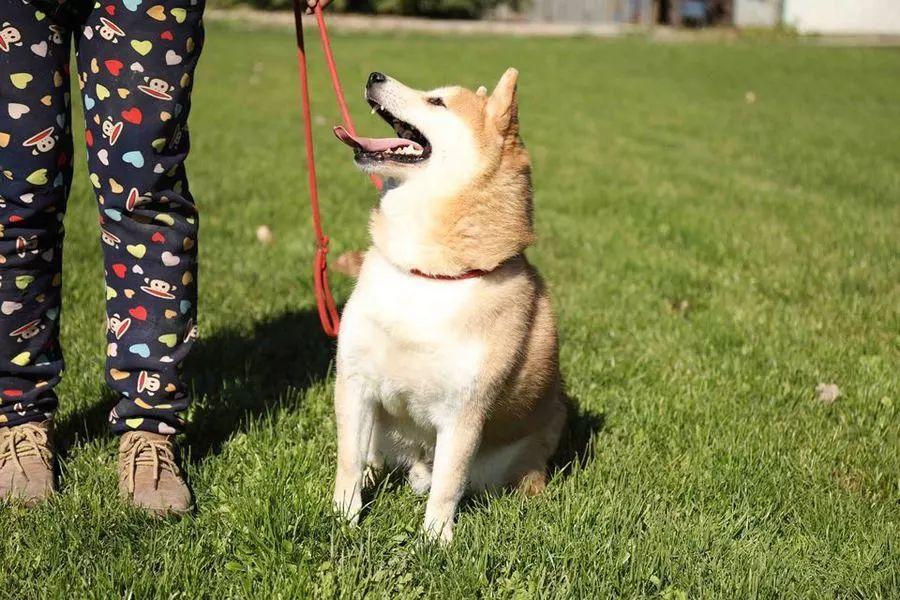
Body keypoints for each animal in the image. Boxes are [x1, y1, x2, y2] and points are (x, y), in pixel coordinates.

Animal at [330, 68, 568, 540]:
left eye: (436, 102)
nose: (374, 74)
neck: (427, 275)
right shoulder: (355, 381)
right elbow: (347, 461)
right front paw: (343, 518)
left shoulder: (463, 412)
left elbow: (447, 485)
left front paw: (434, 542)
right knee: (372, 458)